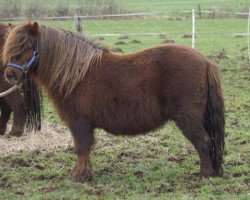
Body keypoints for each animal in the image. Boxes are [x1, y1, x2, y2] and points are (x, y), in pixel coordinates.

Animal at [1, 22, 225, 182]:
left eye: (28, 46)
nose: (10, 74)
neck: (75, 74)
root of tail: (206, 62)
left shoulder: (79, 122)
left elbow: (81, 147)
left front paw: (80, 176)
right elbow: (84, 148)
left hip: (188, 118)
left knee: (204, 141)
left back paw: (205, 174)